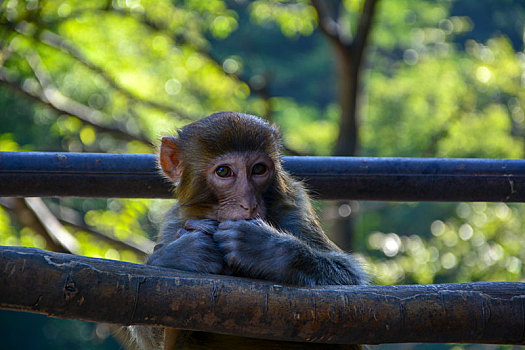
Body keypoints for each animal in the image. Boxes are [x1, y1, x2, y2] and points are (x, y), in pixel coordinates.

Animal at [131, 113, 366, 350]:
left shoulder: (294, 203)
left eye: (258, 169)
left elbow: (349, 277)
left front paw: (264, 248)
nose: (249, 204)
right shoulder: (174, 222)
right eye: (224, 172)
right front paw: (182, 254)